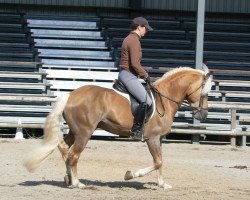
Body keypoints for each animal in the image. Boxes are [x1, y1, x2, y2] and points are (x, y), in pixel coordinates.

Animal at [23, 64, 212, 189]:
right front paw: (130, 175)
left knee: (64, 148)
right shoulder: (152, 138)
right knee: (73, 155)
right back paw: (77, 183)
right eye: (205, 93)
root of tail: (70, 95)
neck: (163, 99)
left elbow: (160, 161)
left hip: (75, 131)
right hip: (84, 133)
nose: (203, 115)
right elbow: (157, 162)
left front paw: (162, 183)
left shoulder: (158, 138)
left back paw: (68, 179)